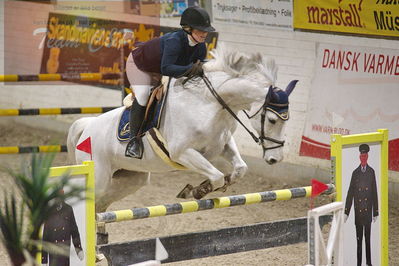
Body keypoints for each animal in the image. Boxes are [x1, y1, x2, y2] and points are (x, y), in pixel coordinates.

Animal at [66, 45, 296, 216]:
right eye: (273, 120)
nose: (275, 159)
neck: (210, 103)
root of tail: (87, 126)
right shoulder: (182, 152)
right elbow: (217, 176)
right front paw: (198, 190)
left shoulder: (222, 144)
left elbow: (240, 168)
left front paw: (215, 185)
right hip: (99, 176)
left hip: (131, 178)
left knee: (100, 206)